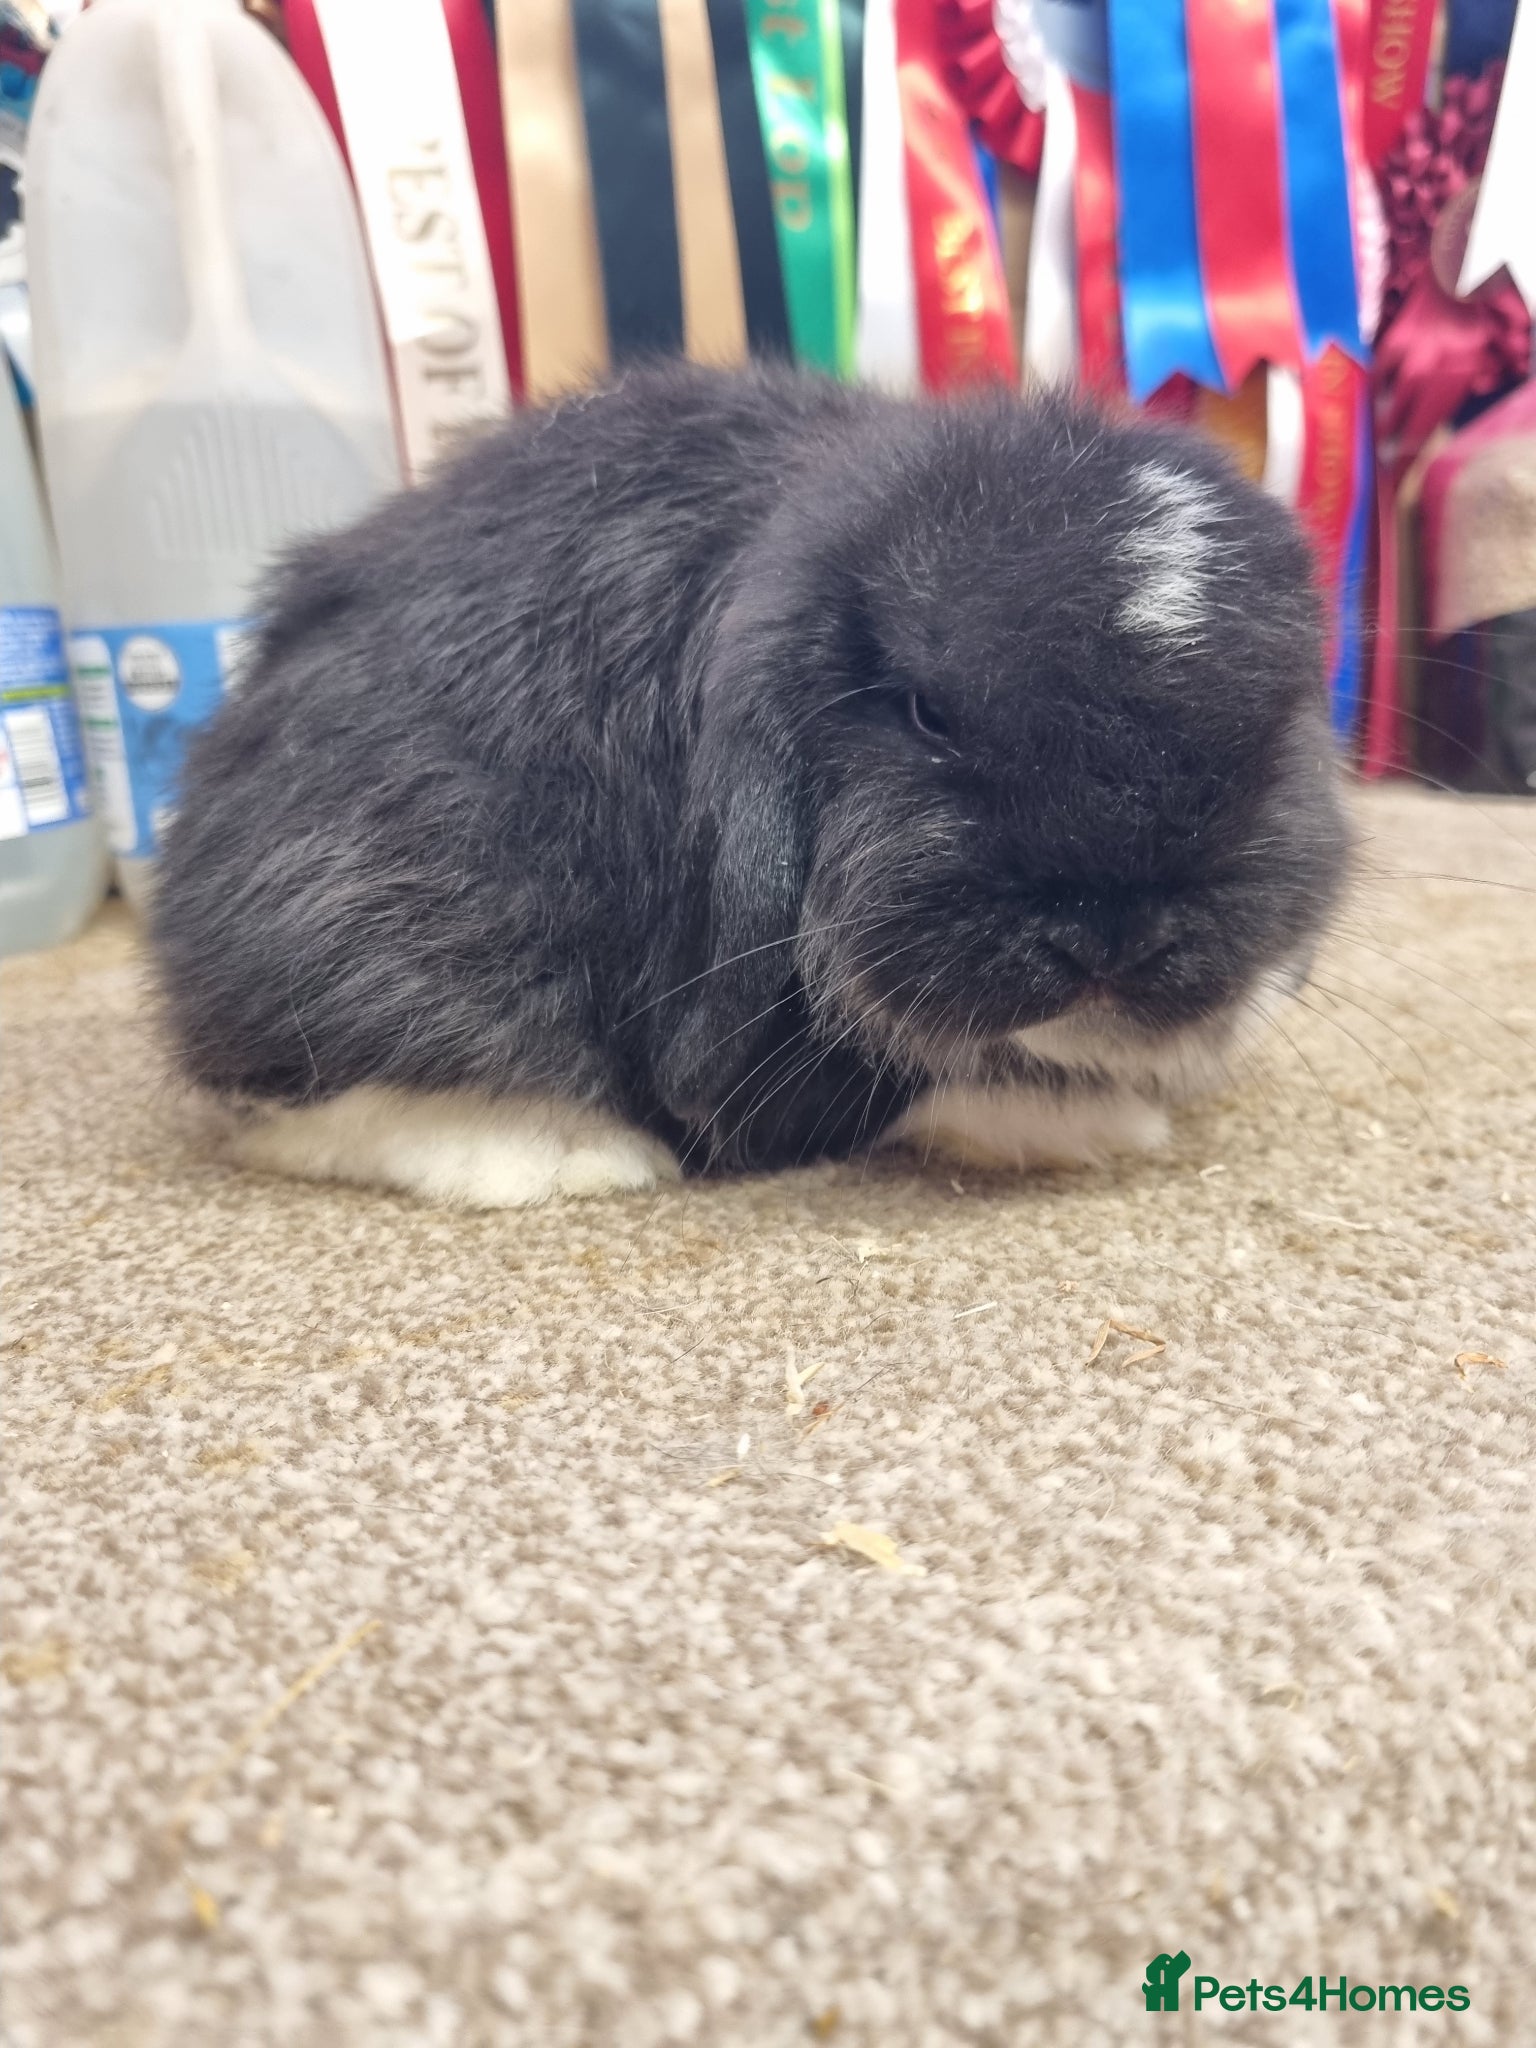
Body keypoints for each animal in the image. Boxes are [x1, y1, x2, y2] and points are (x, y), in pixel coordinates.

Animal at [150, 359, 1351, 1208]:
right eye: (927, 710)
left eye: (1279, 718)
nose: (1112, 935)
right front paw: (1092, 1127)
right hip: (389, 910)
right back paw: (564, 1155)